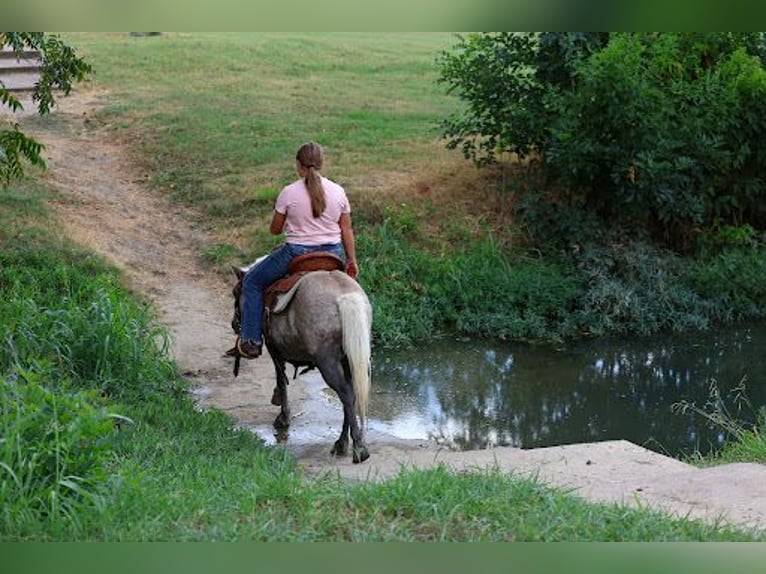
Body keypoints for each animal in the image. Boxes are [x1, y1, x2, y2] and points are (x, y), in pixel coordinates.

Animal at [230, 254, 372, 463]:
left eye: (235, 292)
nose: (234, 324)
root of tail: (344, 296)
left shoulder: (273, 348)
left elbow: (281, 379)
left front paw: (283, 417)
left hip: (327, 362)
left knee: (346, 393)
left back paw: (357, 449)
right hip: (350, 358)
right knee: (351, 394)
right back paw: (342, 443)